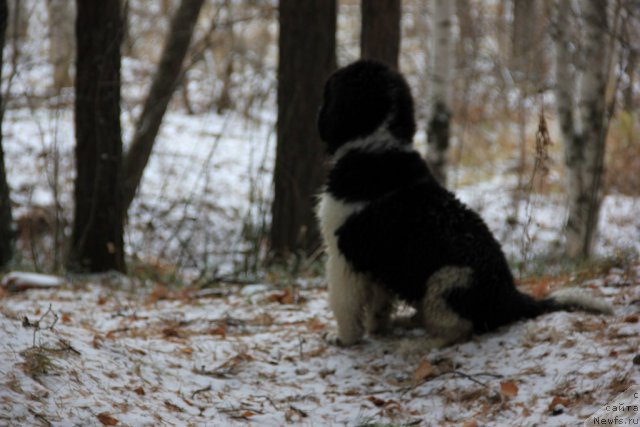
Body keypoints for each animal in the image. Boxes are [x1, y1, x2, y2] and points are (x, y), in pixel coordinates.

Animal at [318, 59, 612, 348]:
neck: (375, 148)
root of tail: (511, 298)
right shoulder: (378, 260)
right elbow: (379, 303)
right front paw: (377, 329)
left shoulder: (342, 254)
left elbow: (344, 304)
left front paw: (344, 338)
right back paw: (409, 323)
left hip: (446, 281)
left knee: (458, 330)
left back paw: (419, 344)